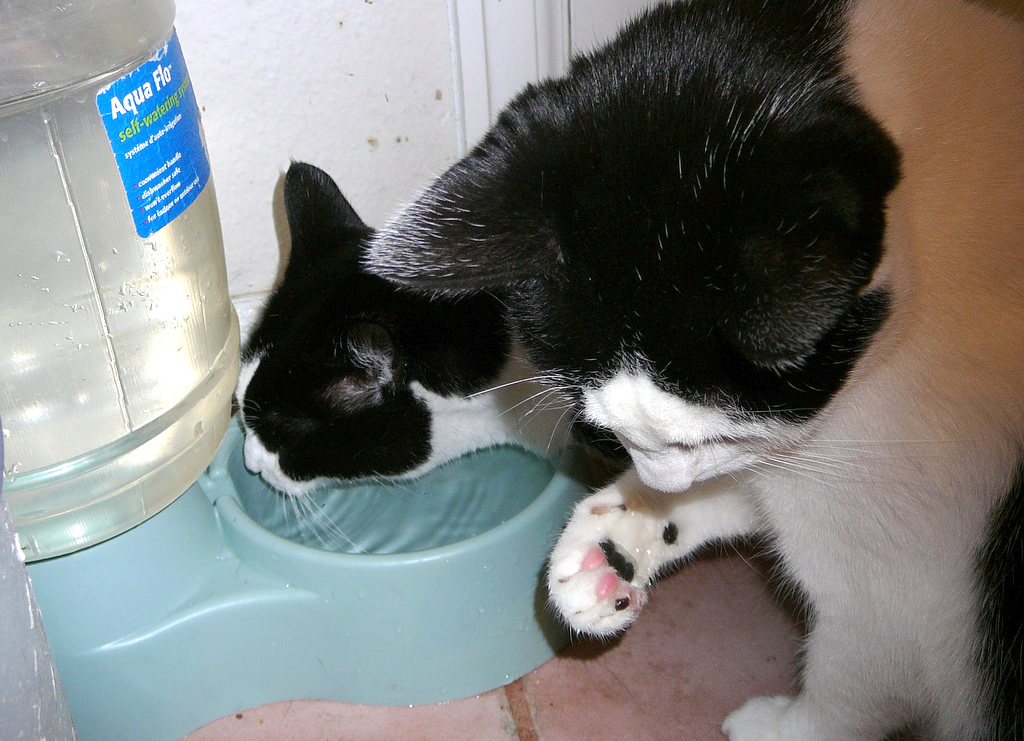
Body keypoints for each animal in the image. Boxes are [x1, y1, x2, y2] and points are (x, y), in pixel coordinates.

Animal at [364, 1, 1024, 741]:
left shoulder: (886, 581)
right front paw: (609, 542)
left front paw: (783, 726)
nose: (659, 483)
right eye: (607, 428)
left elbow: (847, 686)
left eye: (711, 435)